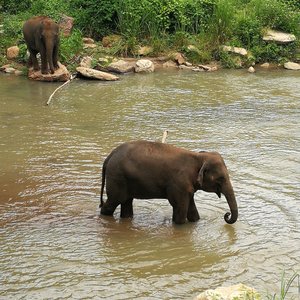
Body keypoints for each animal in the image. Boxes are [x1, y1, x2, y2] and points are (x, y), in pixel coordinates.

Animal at [99, 141, 238, 225]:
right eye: (221, 178)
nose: (227, 214)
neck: (198, 157)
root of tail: (109, 157)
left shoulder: (186, 186)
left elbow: (193, 213)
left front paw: (196, 222)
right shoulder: (178, 185)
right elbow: (180, 211)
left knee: (127, 203)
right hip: (117, 178)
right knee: (112, 203)